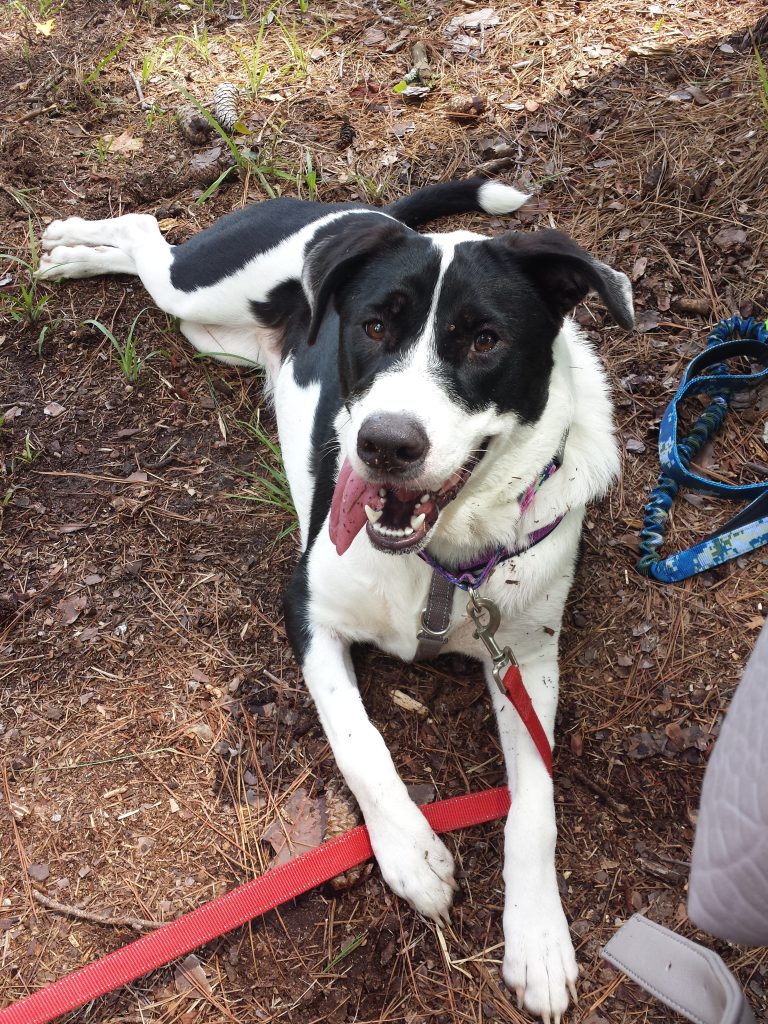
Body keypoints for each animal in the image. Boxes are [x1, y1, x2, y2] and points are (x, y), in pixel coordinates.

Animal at [39, 184, 634, 1024]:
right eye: (376, 326)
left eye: (485, 339)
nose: (385, 443)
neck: (442, 560)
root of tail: (361, 212)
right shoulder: (308, 612)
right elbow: (359, 742)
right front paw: (412, 853)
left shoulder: (529, 657)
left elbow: (536, 803)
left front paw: (539, 937)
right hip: (204, 285)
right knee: (147, 235)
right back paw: (72, 248)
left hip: (217, 337)